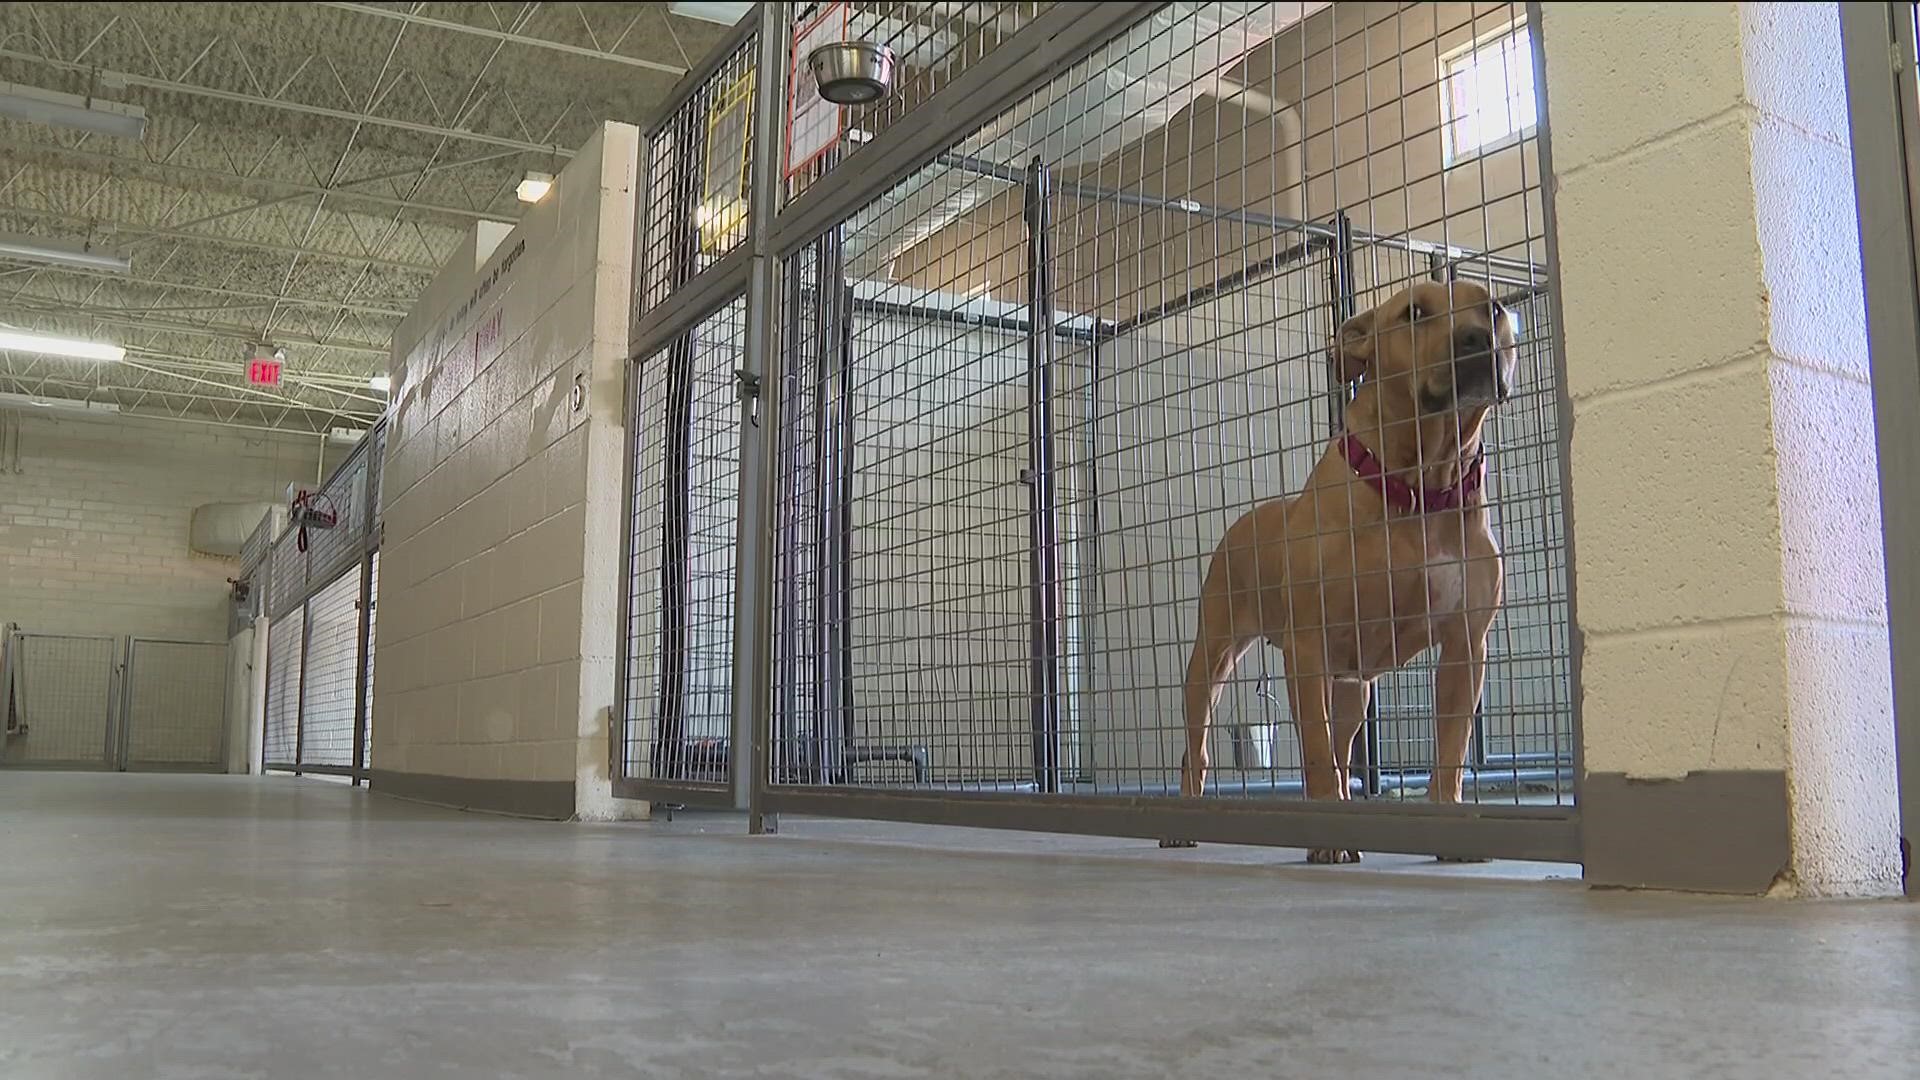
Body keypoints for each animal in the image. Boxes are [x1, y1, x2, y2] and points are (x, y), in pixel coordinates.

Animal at [1167, 276, 1512, 857]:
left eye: (1493, 308)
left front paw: (1450, 827)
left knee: (1343, 747)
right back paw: (1185, 821)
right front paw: (1326, 832)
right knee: (1203, 747)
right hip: (1210, 661)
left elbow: (1451, 749)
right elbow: (1315, 748)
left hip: (1353, 687)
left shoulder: (1466, 646)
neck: (1418, 488)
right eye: (1413, 313)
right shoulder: (1309, 648)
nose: (1475, 338)